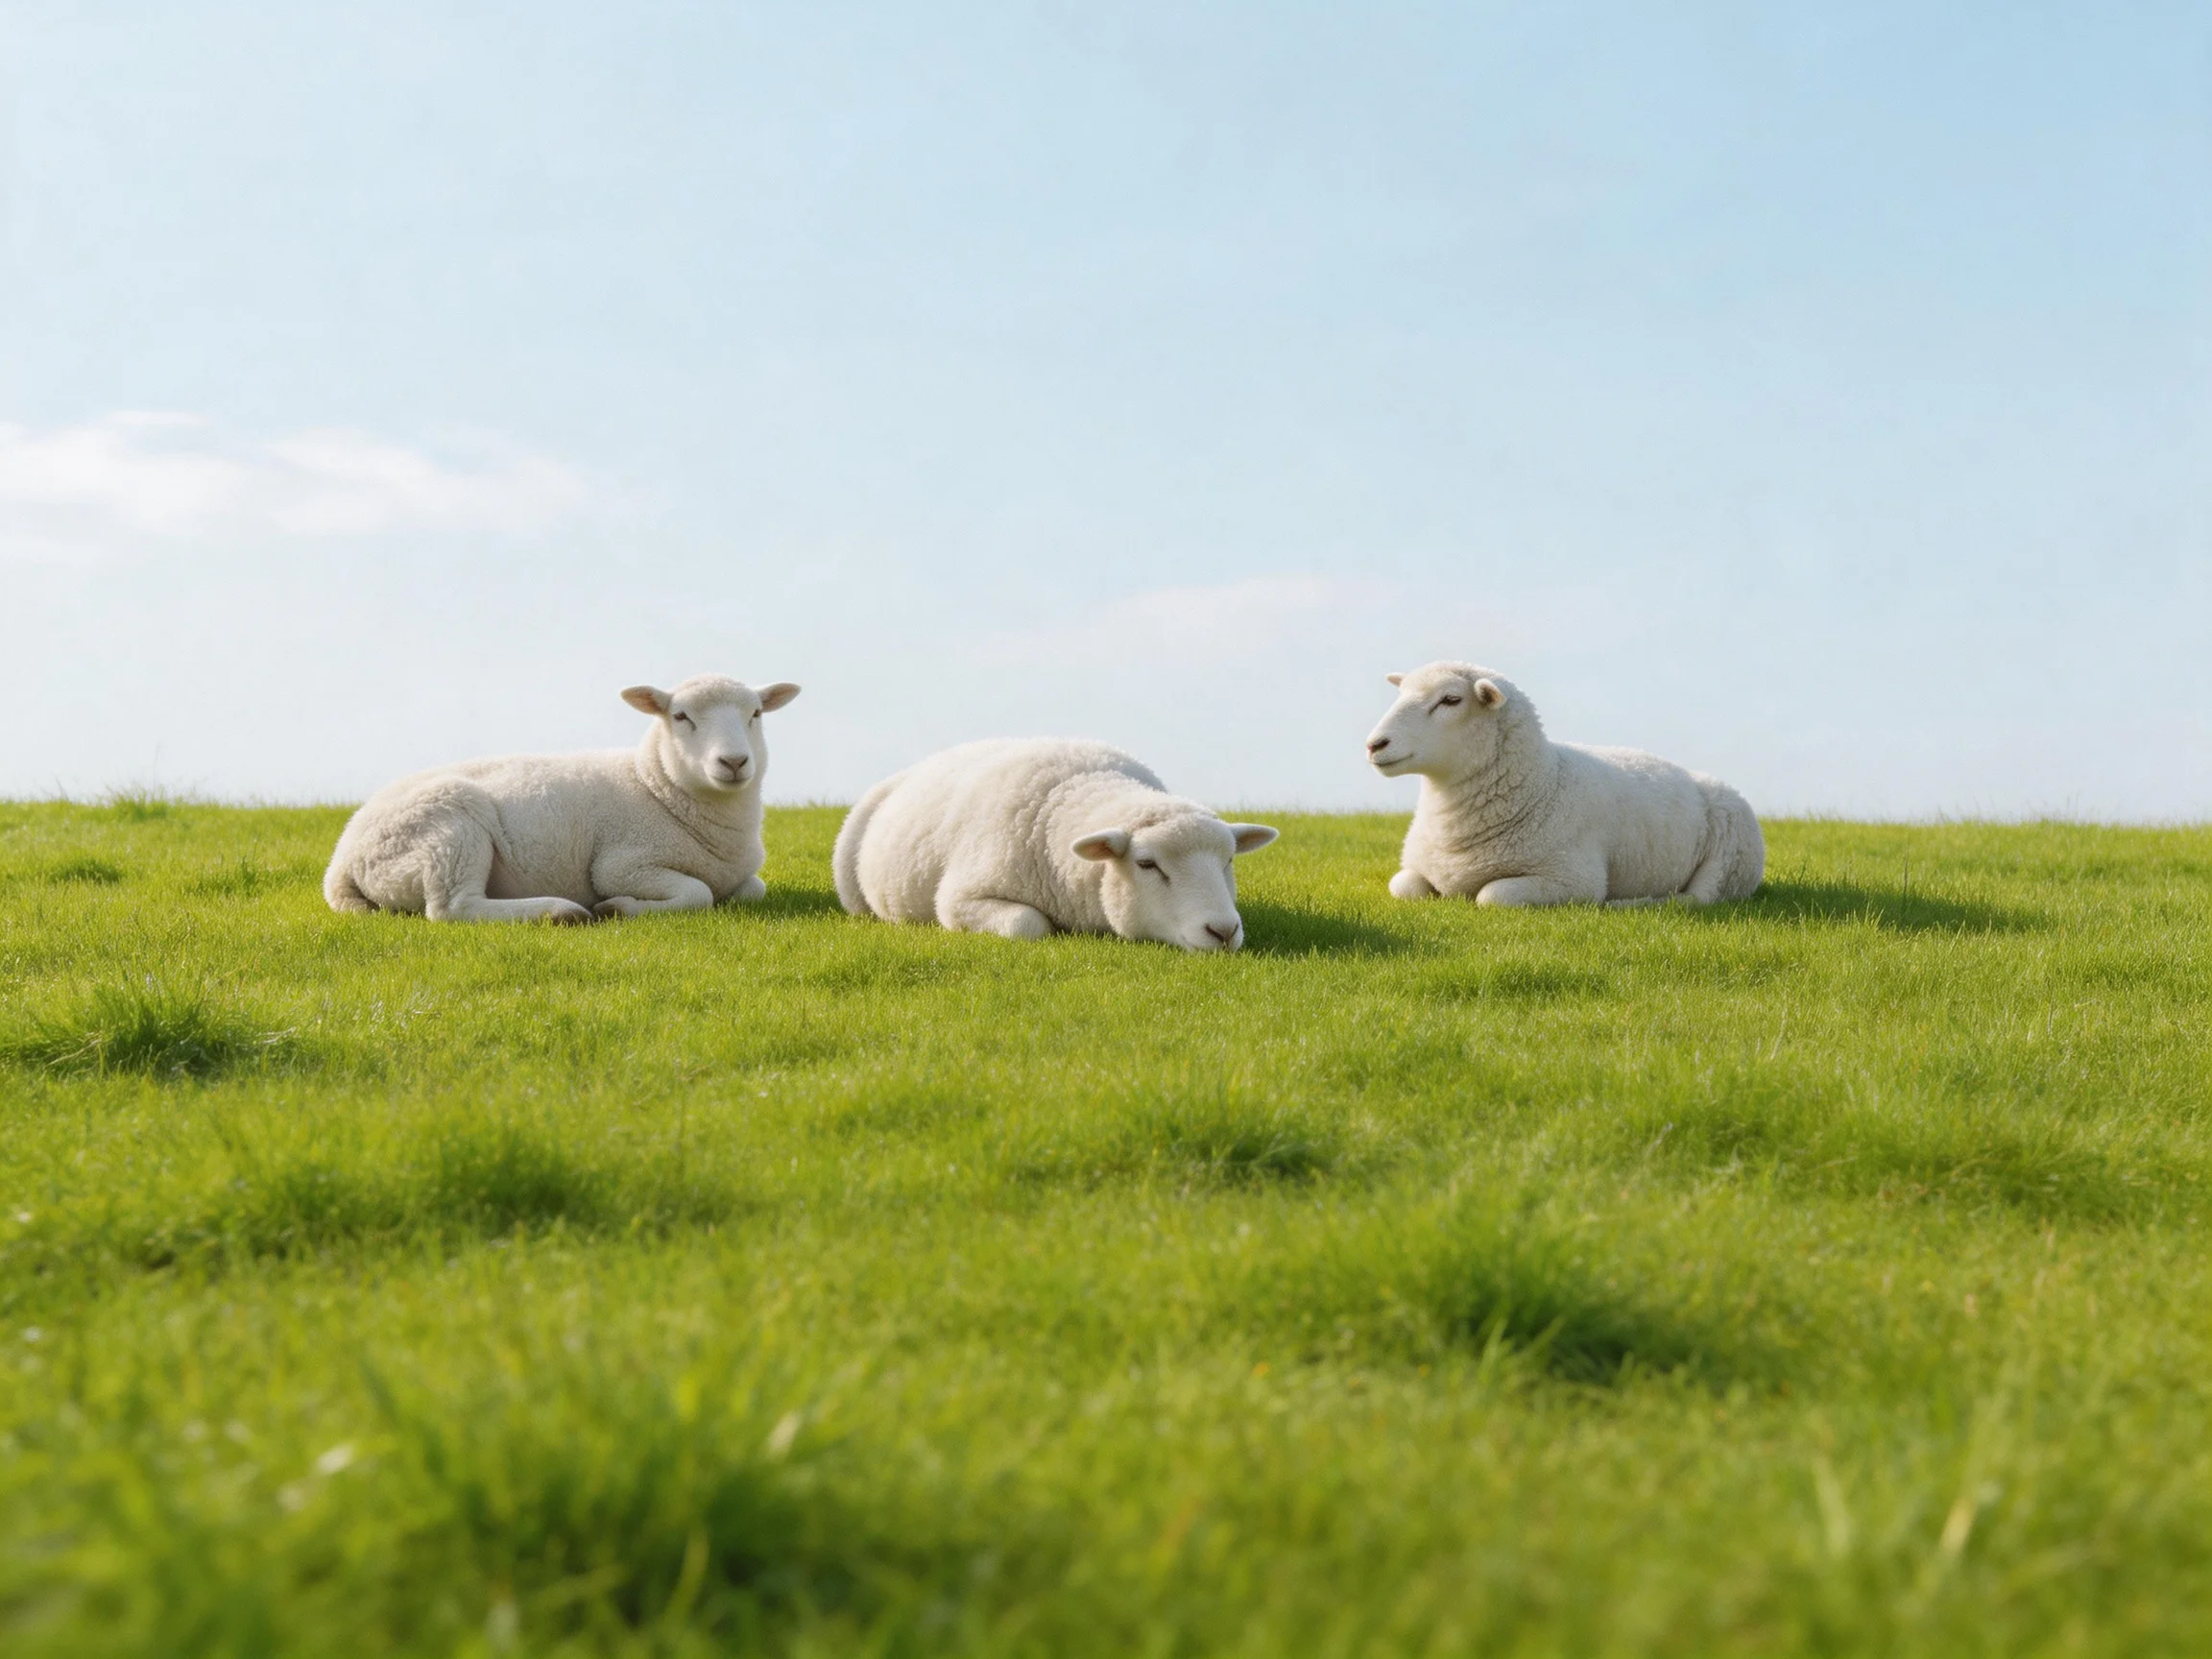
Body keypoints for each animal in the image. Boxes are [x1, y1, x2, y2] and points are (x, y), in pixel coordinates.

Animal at [323, 674, 800, 922]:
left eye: (756, 714)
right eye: (681, 717)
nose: (733, 761)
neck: (654, 785)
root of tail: (341, 860)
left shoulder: (742, 877)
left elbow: (752, 889)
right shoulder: (624, 863)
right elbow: (698, 893)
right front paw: (618, 907)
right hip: (448, 826)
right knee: (452, 908)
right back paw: (562, 911)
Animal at [1365, 661, 1763, 907]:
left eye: (1450, 699)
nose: (1374, 744)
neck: (1541, 783)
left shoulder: (1574, 879)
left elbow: (1491, 896)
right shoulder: (1414, 872)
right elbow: (1404, 886)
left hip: (1729, 864)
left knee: (1697, 898)